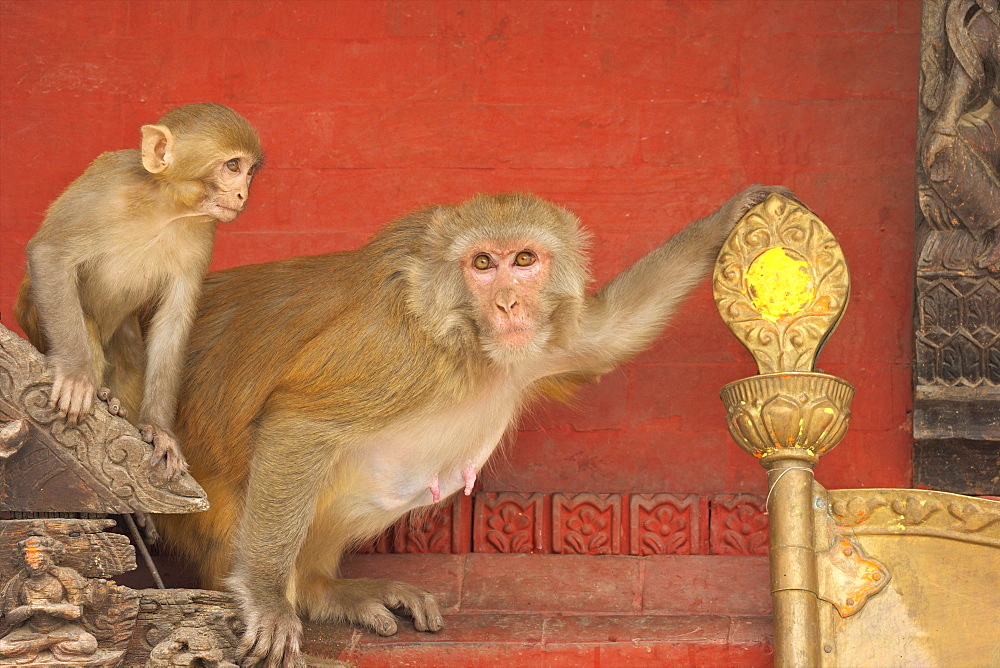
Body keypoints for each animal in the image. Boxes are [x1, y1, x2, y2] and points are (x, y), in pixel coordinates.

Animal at [14, 103, 262, 480]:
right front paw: (75, 376)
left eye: (249, 171)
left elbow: (174, 320)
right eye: (232, 166)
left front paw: (159, 430)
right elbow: (49, 254)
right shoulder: (106, 191)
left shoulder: (202, 234)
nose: (242, 195)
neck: (167, 206)